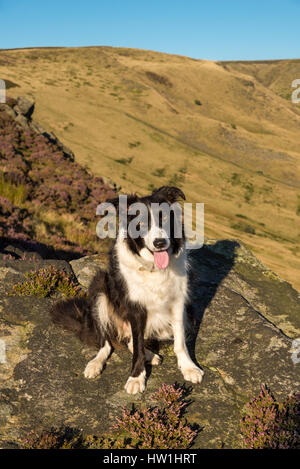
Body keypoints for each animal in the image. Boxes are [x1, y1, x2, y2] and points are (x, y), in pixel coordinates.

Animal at [51, 185, 204, 394]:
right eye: (140, 223)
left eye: (164, 218)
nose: (159, 243)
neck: (153, 268)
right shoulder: (136, 307)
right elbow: (137, 346)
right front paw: (136, 378)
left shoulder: (178, 302)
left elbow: (179, 340)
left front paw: (188, 367)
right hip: (100, 288)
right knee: (107, 343)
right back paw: (96, 364)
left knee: (129, 340)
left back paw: (151, 356)